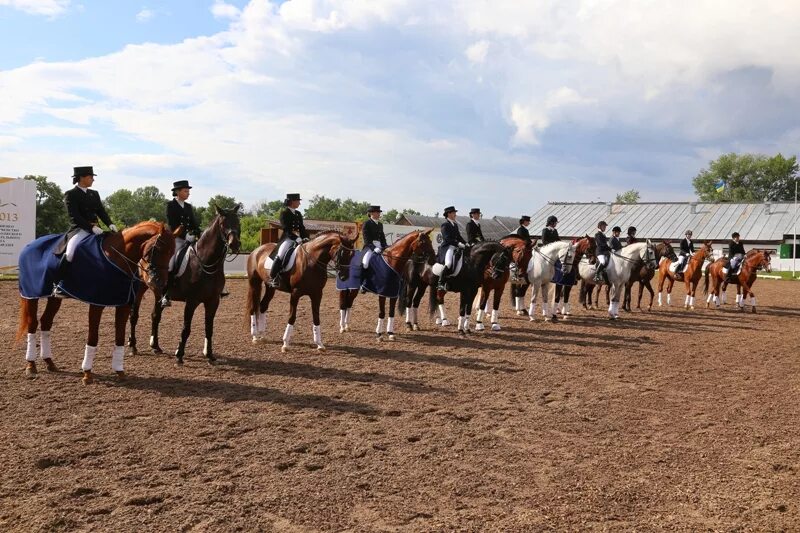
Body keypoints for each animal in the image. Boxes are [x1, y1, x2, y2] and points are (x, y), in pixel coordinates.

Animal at [18, 220, 174, 382]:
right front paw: (87, 373)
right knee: (32, 323)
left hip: (54, 298)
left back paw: (49, 362)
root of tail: (29, 246)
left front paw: (119, 371)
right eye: (158, 249)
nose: (160, 283)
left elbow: (120, 337)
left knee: (46, 322)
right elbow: (93, 337)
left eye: (172, 252)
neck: (117, 257)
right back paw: (31, 365)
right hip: (31, 295)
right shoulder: (96, 304)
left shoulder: (123, 305)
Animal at [134, 205, 239, 366]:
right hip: (140, 288)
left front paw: (209, 355)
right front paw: (179, 355)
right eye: (223, 224)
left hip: (159, 293)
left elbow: (209, 328)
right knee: (134, 314)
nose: (235, 244)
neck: (205, 262)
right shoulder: (191, 301)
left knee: (155, 315)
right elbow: (186, 328)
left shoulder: (213, 301)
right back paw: (132, 345)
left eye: (238, 221)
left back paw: (156, 346)